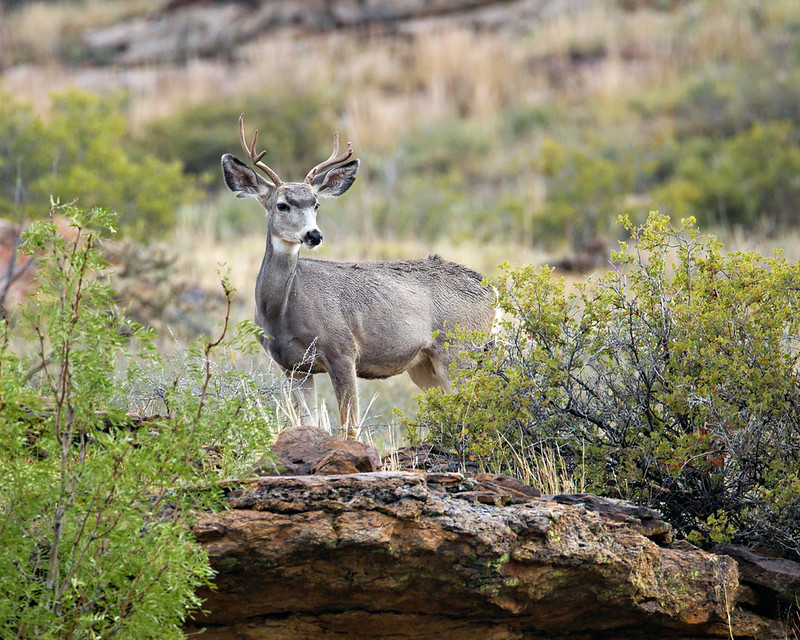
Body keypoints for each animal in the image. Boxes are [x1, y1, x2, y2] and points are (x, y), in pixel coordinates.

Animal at [221, 115, 496, 439]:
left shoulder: (342, 350)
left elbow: (349, 427)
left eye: (316, 204)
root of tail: (491, 289)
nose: (314, 235)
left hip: (460, 347)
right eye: (282, 204)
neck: (282, 310)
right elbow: (307, 422)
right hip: (424, 364)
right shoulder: (293, 366)